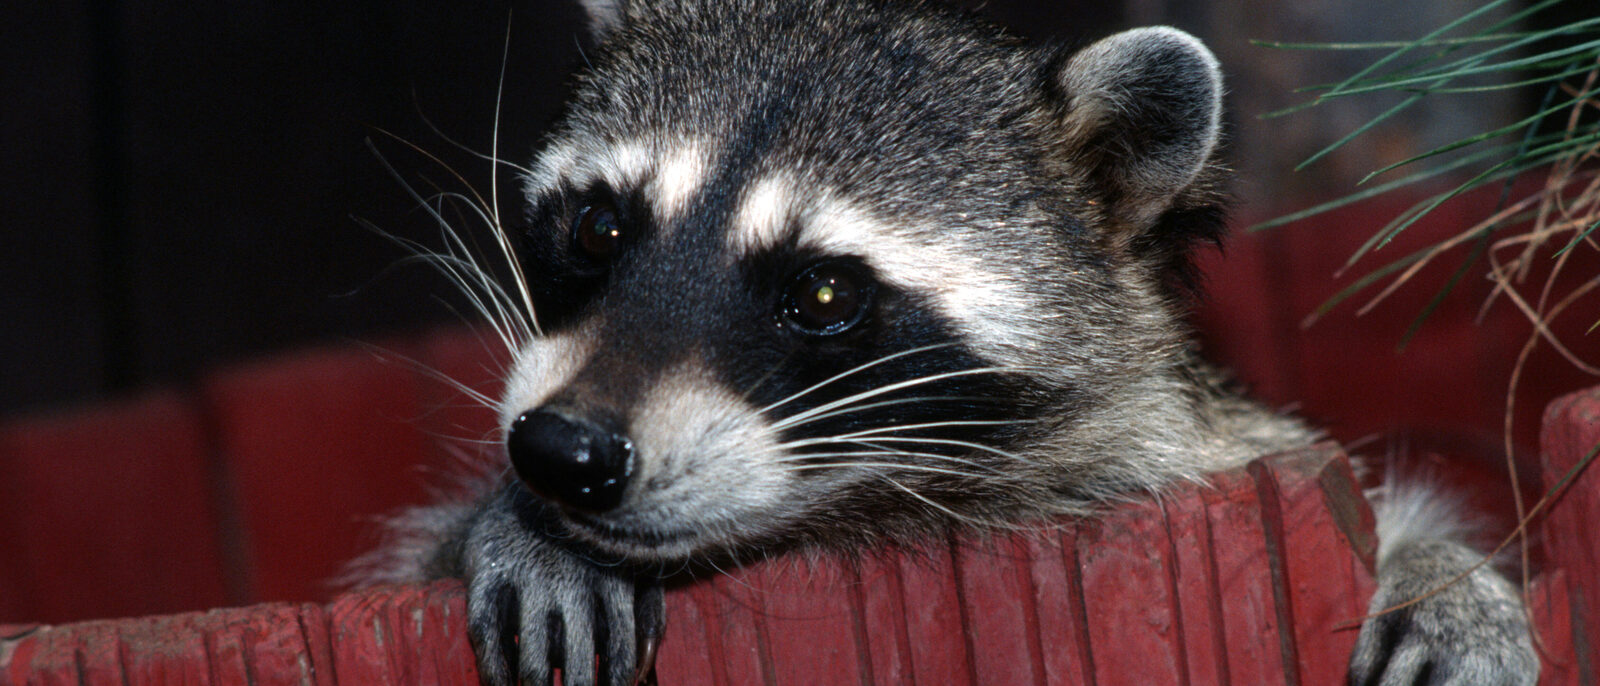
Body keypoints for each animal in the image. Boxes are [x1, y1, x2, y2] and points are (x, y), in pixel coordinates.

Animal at [365, 0, 1539, 684]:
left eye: (824, 291)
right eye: (599, 227)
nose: (562, 451)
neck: (864, 510)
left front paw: (1437, 567)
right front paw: (511, 524)